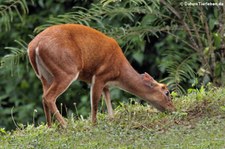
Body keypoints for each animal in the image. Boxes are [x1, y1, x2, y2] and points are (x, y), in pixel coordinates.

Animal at [27, 23, 176, 127]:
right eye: (167, 92)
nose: (173, 109)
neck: (119, 73)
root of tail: (33, 46)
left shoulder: (106, 83)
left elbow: (108, 100)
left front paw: (111, 119)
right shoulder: (99, 75)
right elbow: (95, 103)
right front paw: (94, 124)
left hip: (45, 75)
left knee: (43, 97)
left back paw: (50, 127)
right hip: (66, 70)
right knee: (48, 97)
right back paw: (65, 125)